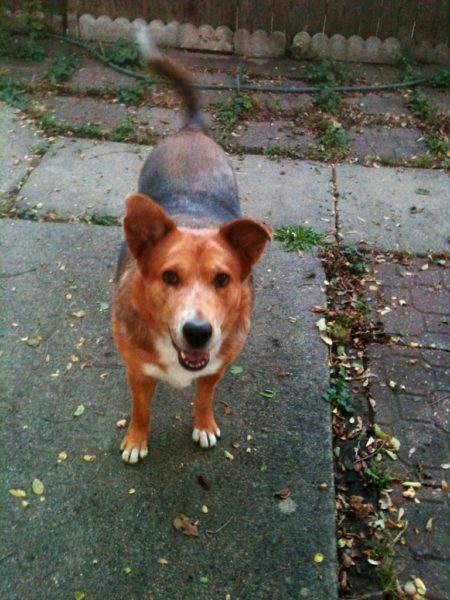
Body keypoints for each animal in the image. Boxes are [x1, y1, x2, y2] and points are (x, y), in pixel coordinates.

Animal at [112, 30, 270, 464]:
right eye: (169, 276)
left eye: (223, 279)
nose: (198, 333)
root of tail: (191, 130)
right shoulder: (137, 372)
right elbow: (141, 409)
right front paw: (136, 440)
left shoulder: (215, 368)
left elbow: (204, 399)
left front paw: (203, 425)